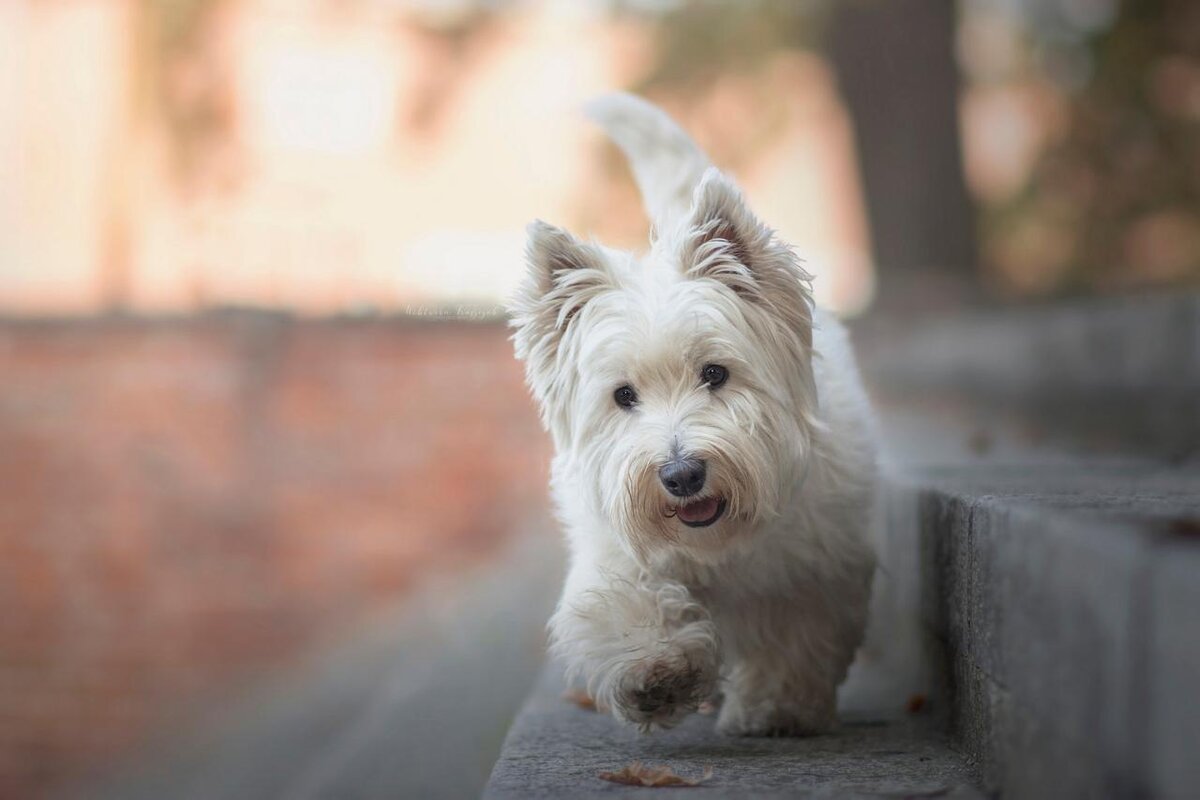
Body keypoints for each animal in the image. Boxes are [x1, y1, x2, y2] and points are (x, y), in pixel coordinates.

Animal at [511, 95, 878, 738]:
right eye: (623, 396)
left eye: (715, 373)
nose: (681, 475)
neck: (717, 541)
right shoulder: (614, 549)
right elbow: (626, 601)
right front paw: (656, 672)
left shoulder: (813, 570)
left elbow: (795, 637)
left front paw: (777, 707)